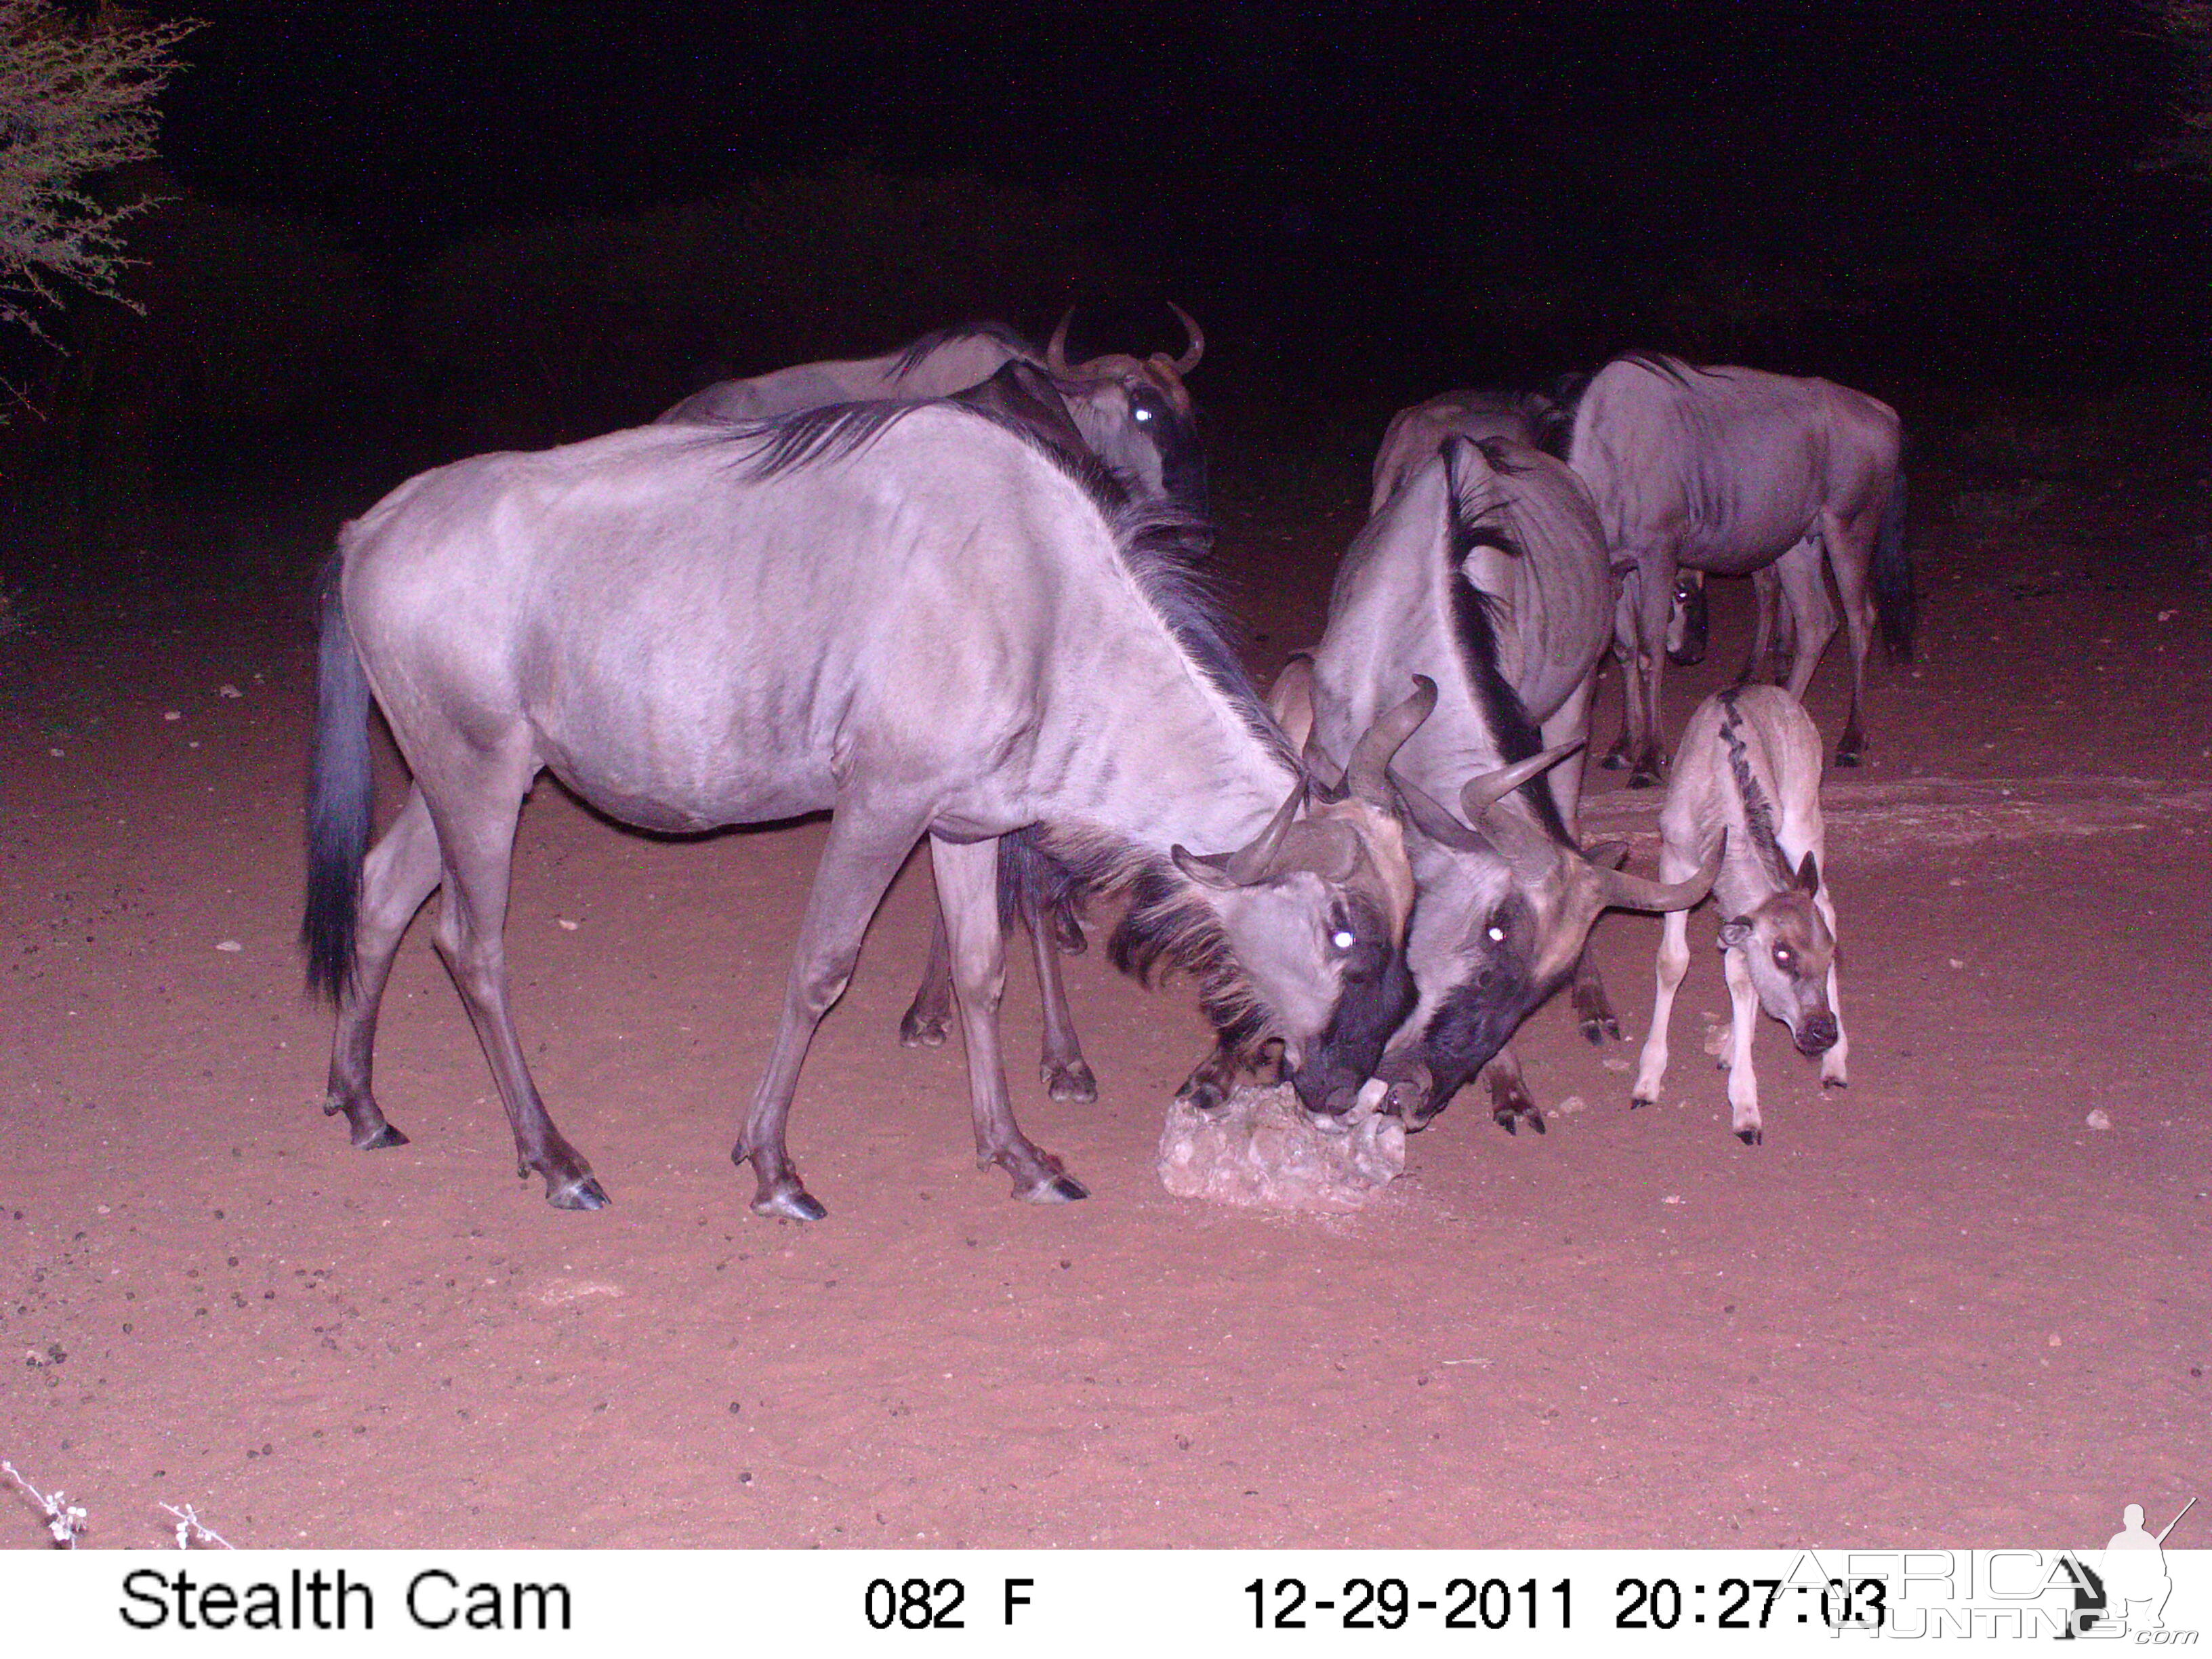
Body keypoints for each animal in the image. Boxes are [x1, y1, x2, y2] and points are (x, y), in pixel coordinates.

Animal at [1628, 690, 1849, 1141]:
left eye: (1830, 954)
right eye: (1782, 954)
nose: (1824, 1031)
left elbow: (1738, 972)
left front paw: (1746, 1108)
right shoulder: (1673, 862)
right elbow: (1675, 961)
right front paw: (1647, 1080)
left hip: (1804, 817)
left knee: (1827, 903)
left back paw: (1835, 1065)